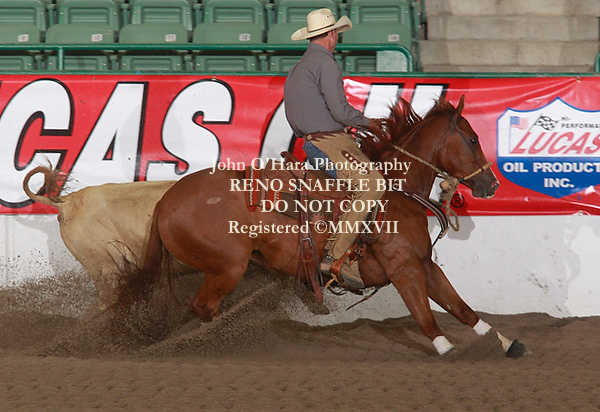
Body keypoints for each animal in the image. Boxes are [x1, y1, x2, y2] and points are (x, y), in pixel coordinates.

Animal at [116, 96, 527, 357]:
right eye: (472, 139)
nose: (491, 185)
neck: (397, 192)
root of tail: (165, 201)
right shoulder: (403, 269)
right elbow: (426, 315)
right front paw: (445, 348)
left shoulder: (424, 264)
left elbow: (462, 308)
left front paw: (506, 343)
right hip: (227, 267)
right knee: (203, 308)